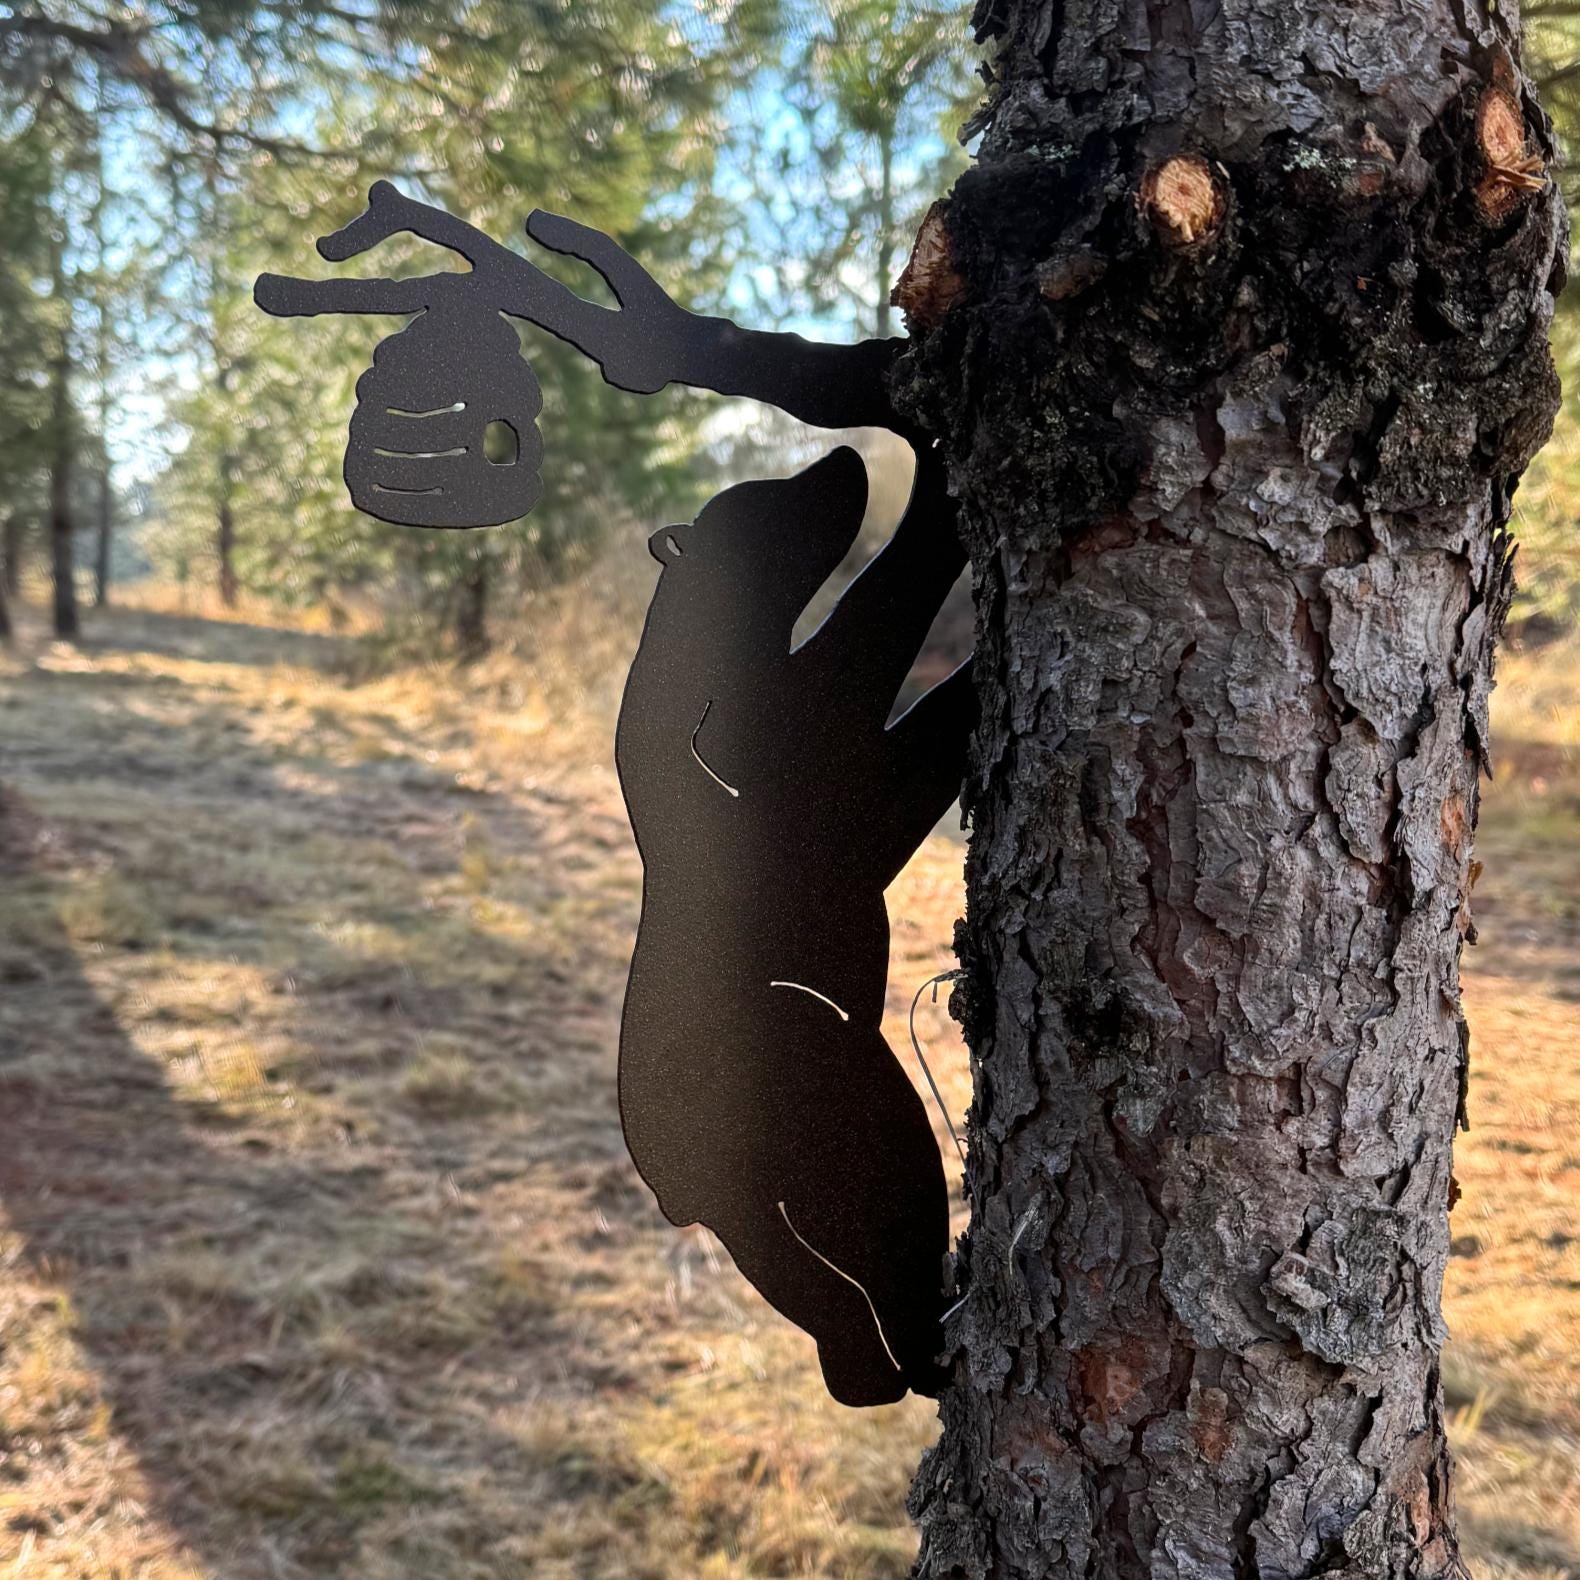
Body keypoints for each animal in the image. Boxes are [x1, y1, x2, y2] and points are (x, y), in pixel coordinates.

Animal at [614, 443, 973, 1406]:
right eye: (763, 507)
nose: (844, 457)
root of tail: (675, 1186)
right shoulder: (845, 779)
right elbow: (887, 618)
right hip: (832, 1094)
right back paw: (929, 1344)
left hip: (758, 1214)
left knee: (813, 1293)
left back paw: (874, 1376)